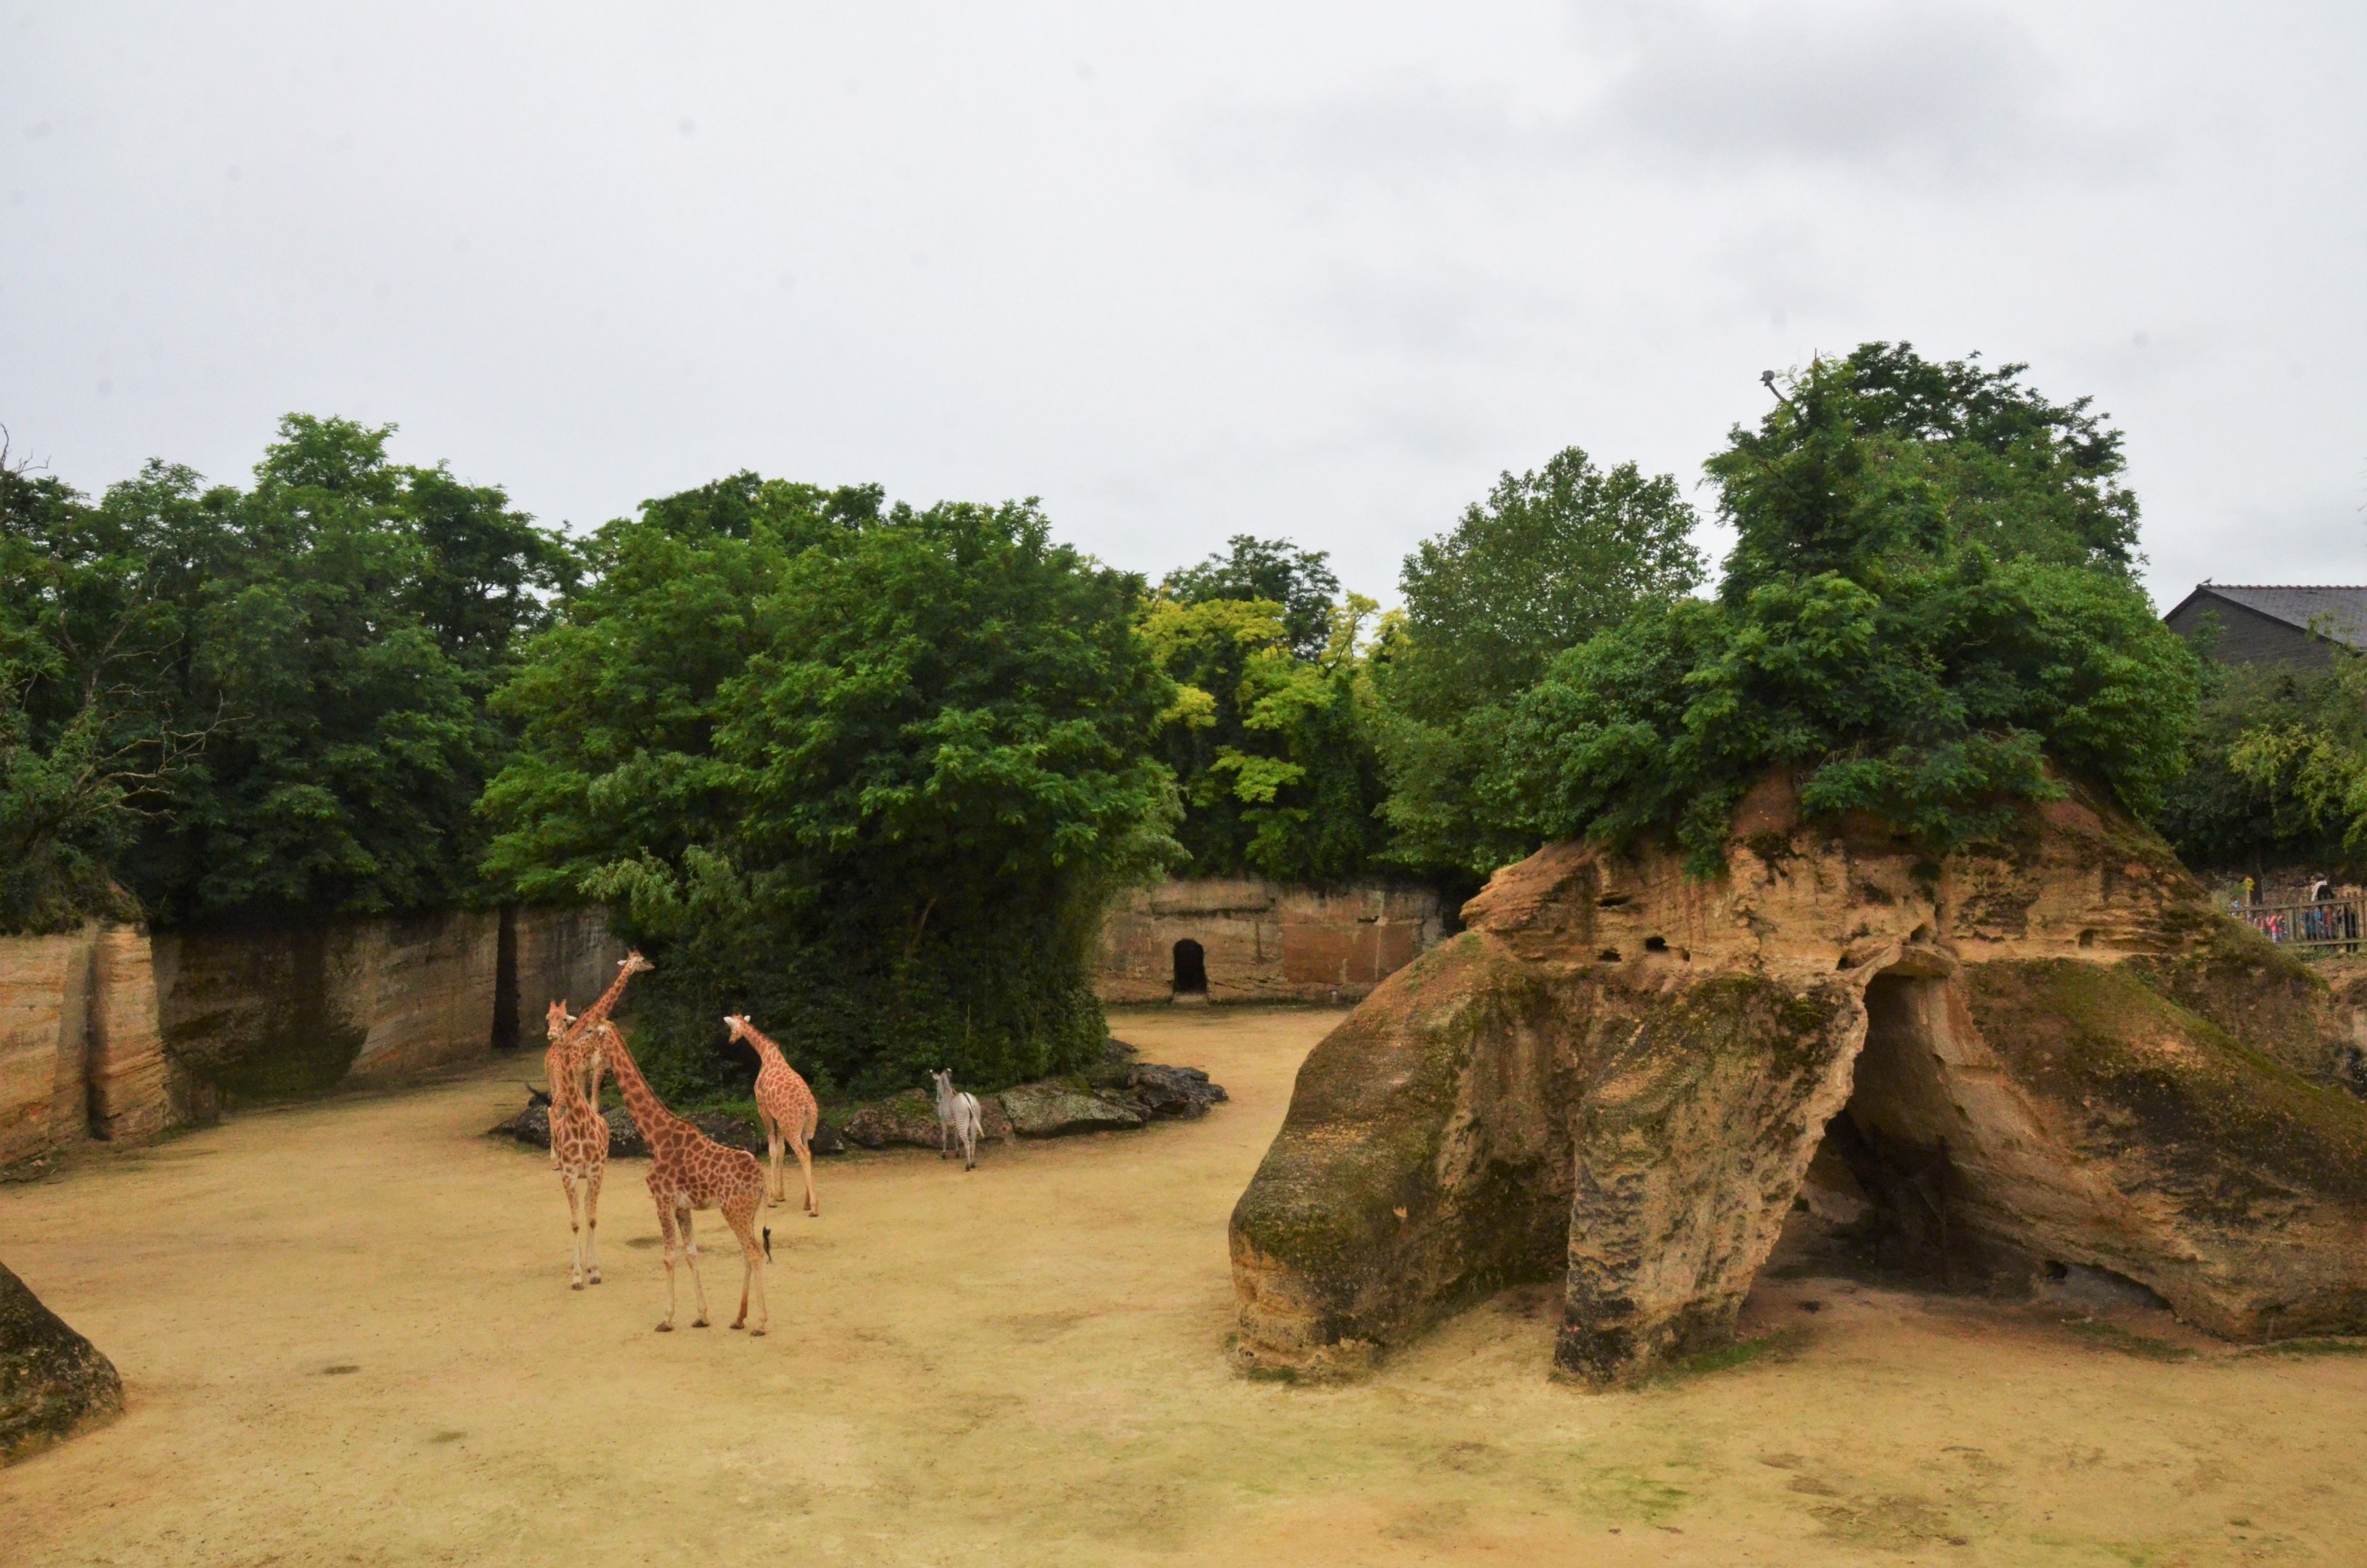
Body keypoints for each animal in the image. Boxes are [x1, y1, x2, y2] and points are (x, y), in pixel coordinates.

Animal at [602, 1002, 771, 1335]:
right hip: (748, 1212)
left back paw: (759, 1323)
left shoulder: (663, 1200)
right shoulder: (683, 1207)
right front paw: (701, 1316)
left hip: (733, 1210)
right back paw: (738, 1319)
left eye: (589, 1032)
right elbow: (692, 1253)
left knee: (755, 1252)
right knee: (748, 1252)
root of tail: (761, 1181)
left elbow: (669, 1256)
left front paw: (666, 1319)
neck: (655, 1137)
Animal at [723, 1014, 820, 1216]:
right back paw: (807, 1203)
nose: (731, 1040)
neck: (766, 1054)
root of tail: (807, 1107)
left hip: (792, 1128)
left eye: (732, 1028)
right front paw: (781, 1194)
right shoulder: (778, 1117)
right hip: (804, 1129)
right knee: (808, 1152)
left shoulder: (764, 1109)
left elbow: (772, 1149)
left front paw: (772, 1198)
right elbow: (781, 1149)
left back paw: (814, 1208)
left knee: (803, 1154)